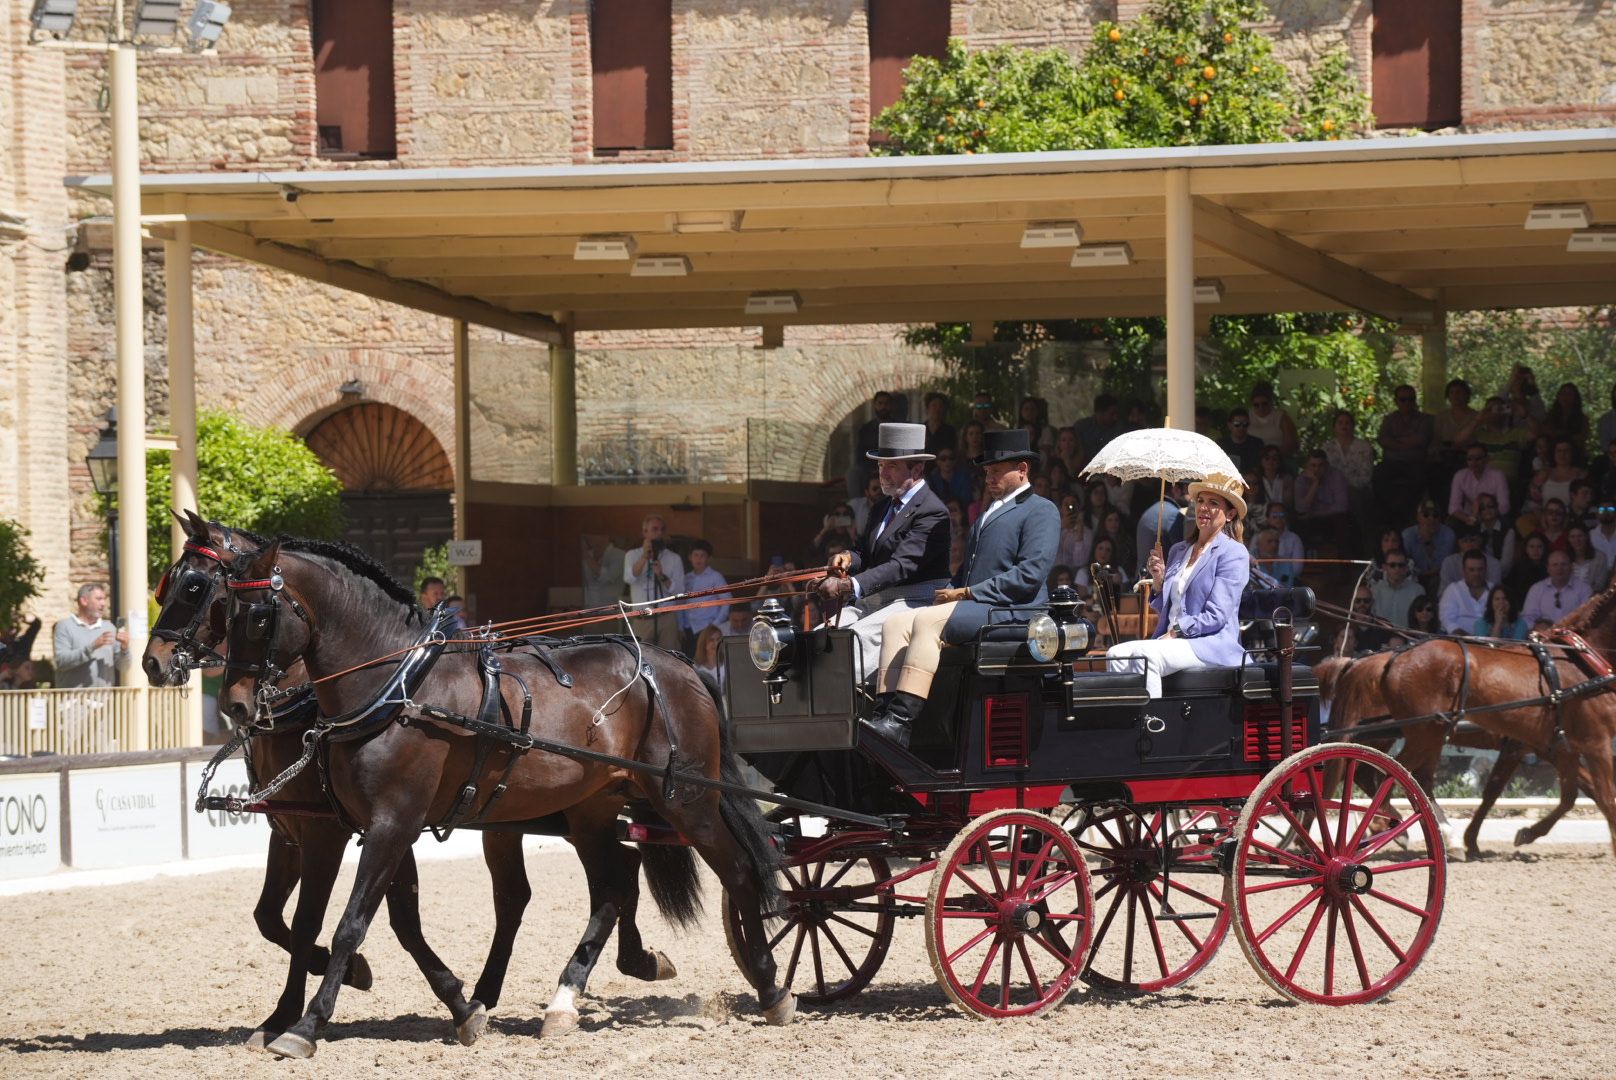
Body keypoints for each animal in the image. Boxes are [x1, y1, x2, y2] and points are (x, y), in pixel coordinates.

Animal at [214, 536, 795, 1060]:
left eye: (258, 617)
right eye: (222, 608)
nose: (234, 705)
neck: (398, 690)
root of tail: (677, 664)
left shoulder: (388, 824)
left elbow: (349, 925)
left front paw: (305, 1026)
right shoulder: (361, 826)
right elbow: (366, 921)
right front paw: (463, 1007)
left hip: (688, 800)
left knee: (739, 871)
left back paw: (771, 987)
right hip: (593, 809)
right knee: (613, 885)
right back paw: (567, 999)